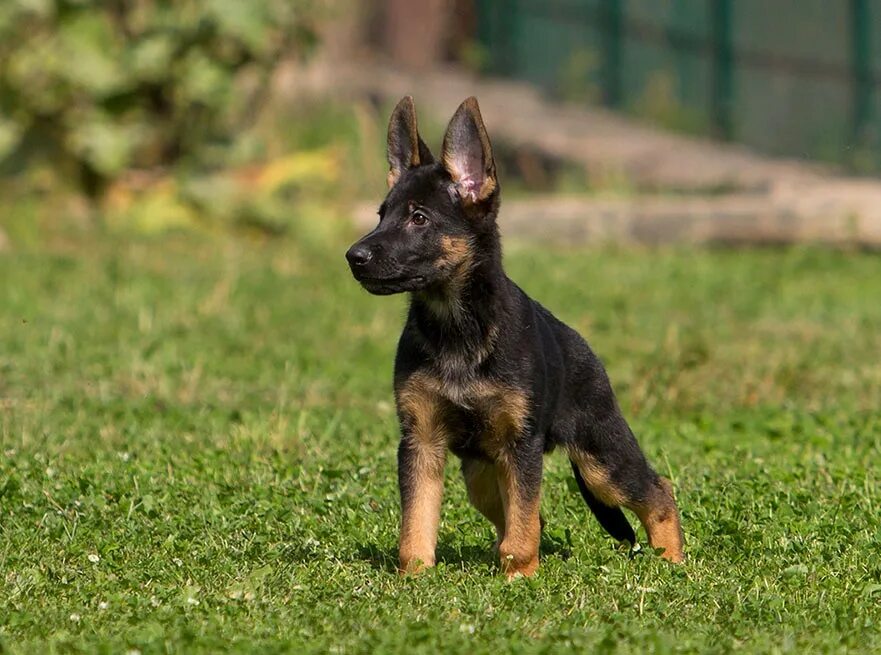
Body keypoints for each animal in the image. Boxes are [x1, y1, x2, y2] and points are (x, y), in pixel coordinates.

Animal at [344, 95, 680, 576]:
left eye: (419, 219)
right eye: (381, 215)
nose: (353, 257)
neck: (458, 327)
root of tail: (582, 347)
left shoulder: (521, 446)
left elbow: (521, 528)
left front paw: (520, 575)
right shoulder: (421, 441)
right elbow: (417, 521)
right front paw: (415, 575)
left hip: (599, 459)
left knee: (657, 491)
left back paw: (672, 560)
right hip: (482, 474)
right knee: (527, 515)